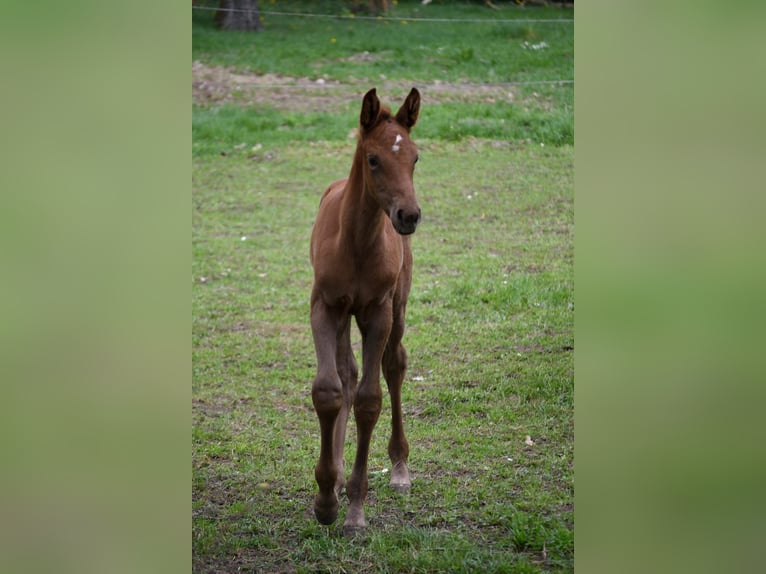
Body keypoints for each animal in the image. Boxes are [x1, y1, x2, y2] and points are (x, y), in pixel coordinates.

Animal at [308, 89, 424, 536]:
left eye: (415, 157)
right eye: (373, 159)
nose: (409, 215)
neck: (355, 241)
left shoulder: (378, 312)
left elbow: (370, 401)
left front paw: (355, 511)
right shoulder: (324, 307)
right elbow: (329, 390)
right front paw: (326, 498)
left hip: (398, 306)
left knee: (394, 365)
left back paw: (399, 466)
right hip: (344, 315)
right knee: (347, 373)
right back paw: (337, 478)